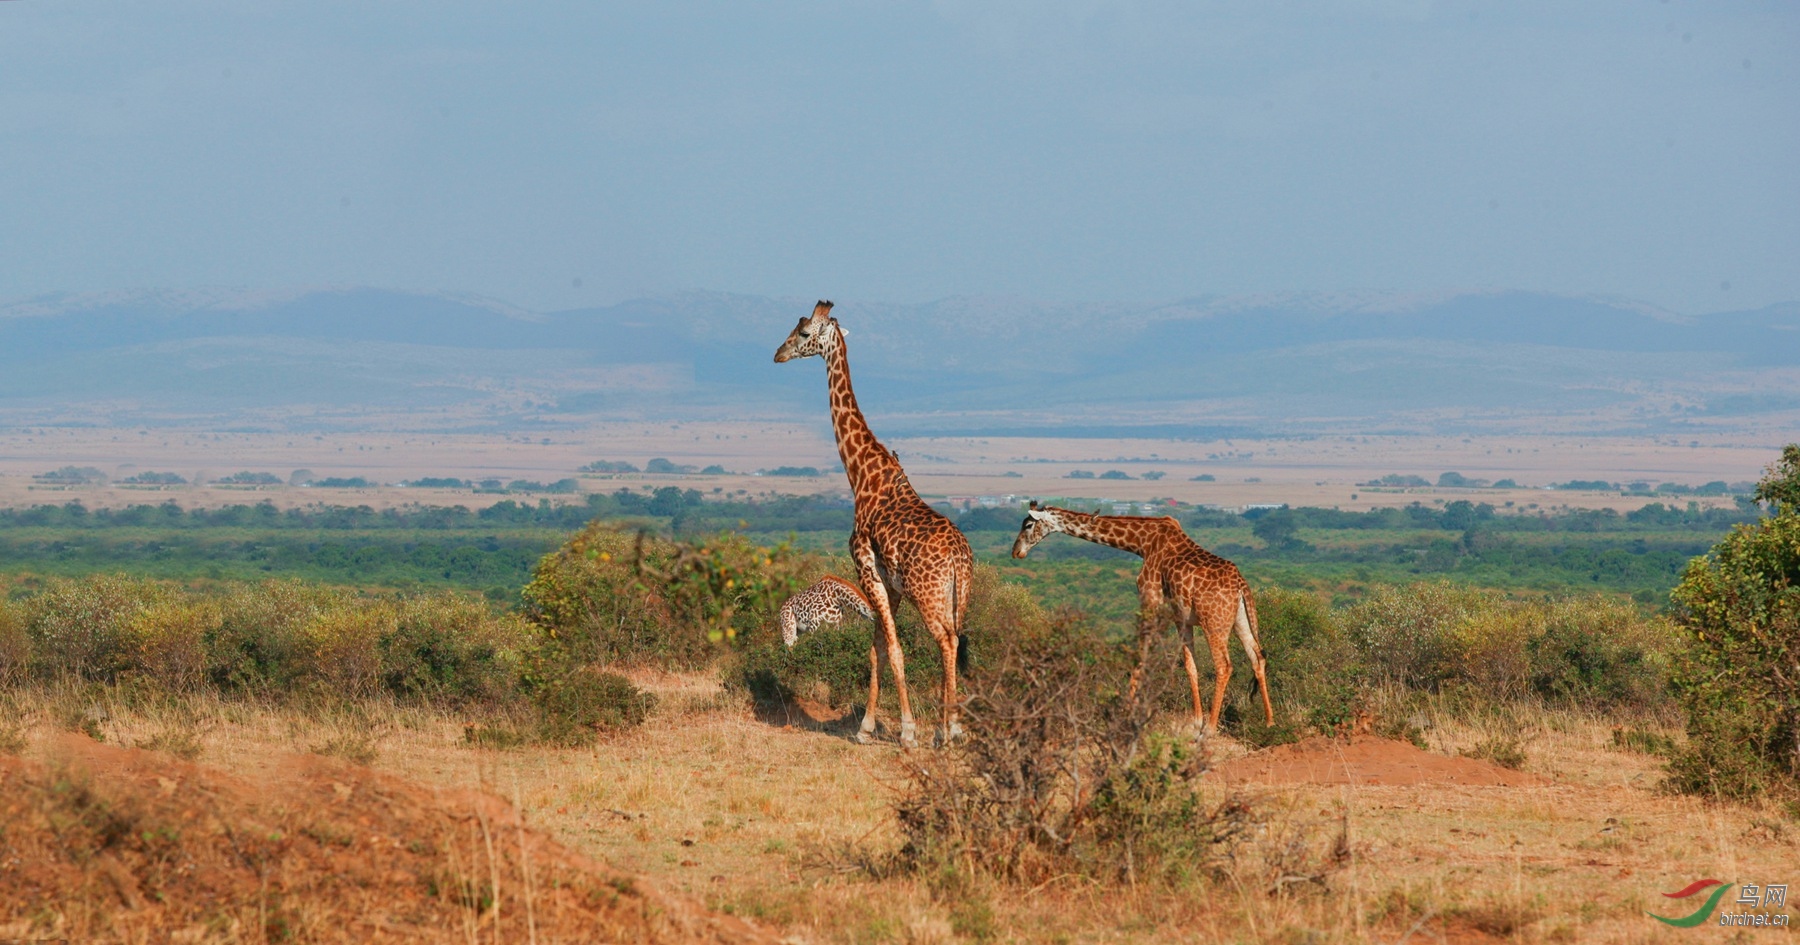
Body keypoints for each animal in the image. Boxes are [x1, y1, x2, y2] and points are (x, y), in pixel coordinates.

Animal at [770, 300, 972, 745]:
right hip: (959, 596)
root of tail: (959, 559)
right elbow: (876, 647)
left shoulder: (865, 566)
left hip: (927, 594)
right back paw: (951, 727)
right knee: (956, 639)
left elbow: (892, 648)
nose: (778, 354)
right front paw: (865, 727)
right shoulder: (888, 582)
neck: (862, 475)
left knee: (945, 640)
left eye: (804, 332)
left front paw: (906, 730)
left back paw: (946, 730)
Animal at [1008, 500, 1274, 730]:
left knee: (1224, 665)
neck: (1141, 543)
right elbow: (1190, 665)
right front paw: (1195, 720)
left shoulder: (1149, 599)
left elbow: (1142, 655)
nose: (1016, 552)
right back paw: (1269, 722)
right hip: (1239, 619)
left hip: (1214, 622)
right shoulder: (1180, 617)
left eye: (1028, 525)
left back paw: (1211, 727)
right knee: (1257, 657)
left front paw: (1128, 710)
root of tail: (1241, 585)